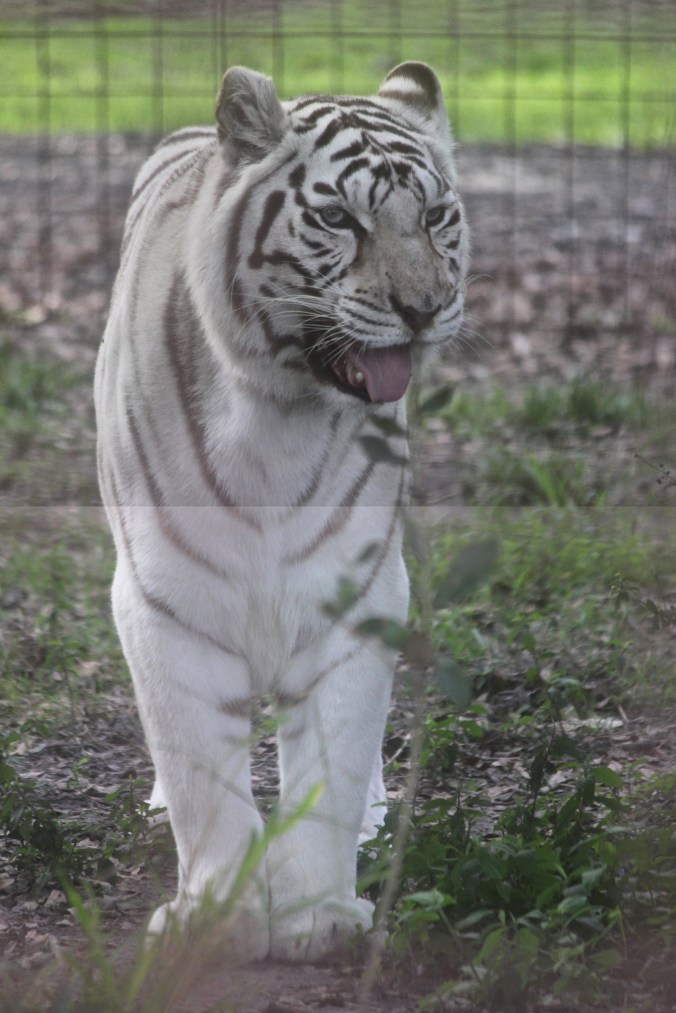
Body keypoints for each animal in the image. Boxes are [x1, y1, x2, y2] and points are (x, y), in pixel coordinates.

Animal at [94, 61, 468, 963]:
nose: (424, 307)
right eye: (339, 218)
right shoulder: (166, 596)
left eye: (434, 215)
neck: (278, 415)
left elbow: (334, 757)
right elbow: (201, 771)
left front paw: (316, 914)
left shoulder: (356, 591)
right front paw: (218, 919)